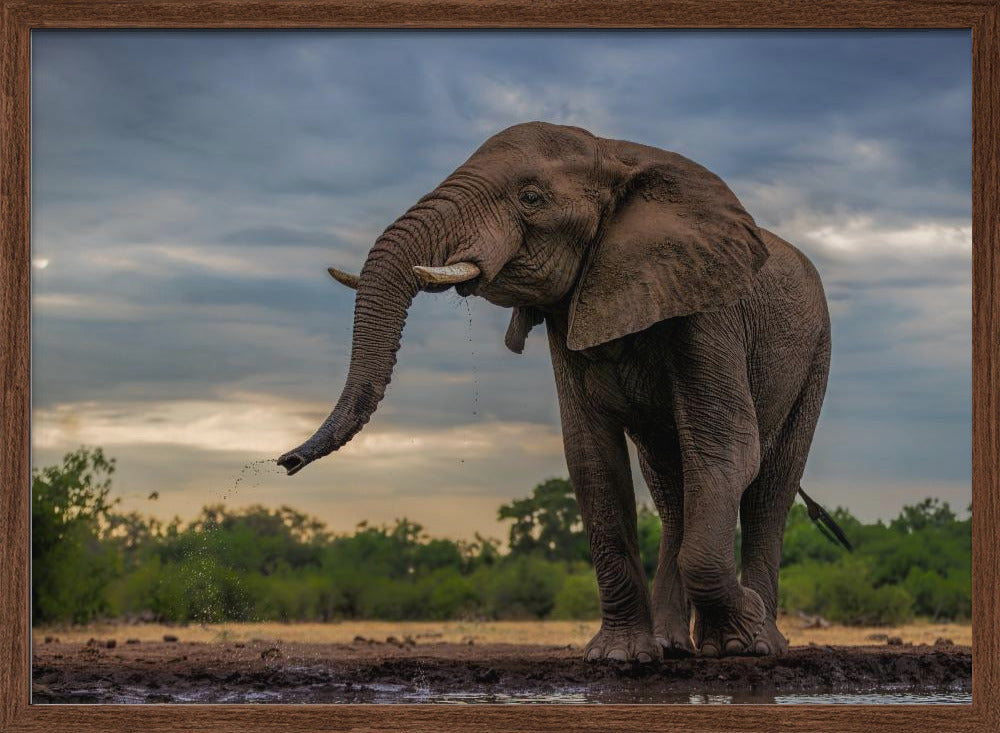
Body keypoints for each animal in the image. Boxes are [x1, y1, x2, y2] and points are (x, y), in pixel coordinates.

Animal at [278, 121, 834, 663]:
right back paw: (674, 646)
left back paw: (760, 644)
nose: (285, 461)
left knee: (769, 487)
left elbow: (726, 448)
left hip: (817, 356)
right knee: (670, 485)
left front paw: (744, 629)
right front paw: (618, 657)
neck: (614, 153)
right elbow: (591, 458)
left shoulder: (708, 308)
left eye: (531, 197)